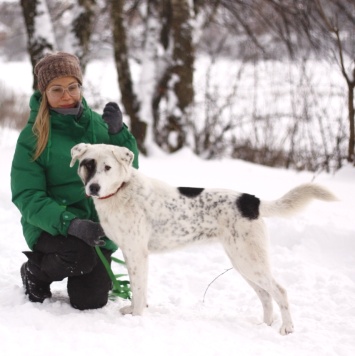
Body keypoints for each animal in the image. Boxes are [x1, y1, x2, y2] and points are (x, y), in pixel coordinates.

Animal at [71, 142, 338, 334]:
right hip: (243, 262)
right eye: (88, 165)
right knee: (265, 295)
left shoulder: (138, 254)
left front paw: (137, 318)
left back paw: (287, 328)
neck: (121, 190)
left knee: (279, 291)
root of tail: (252, 201)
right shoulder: (130, 252)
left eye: (107, 167)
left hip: (250, 261)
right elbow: (138, 291)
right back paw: (264, 325)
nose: (93, 188)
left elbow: (138, 290)